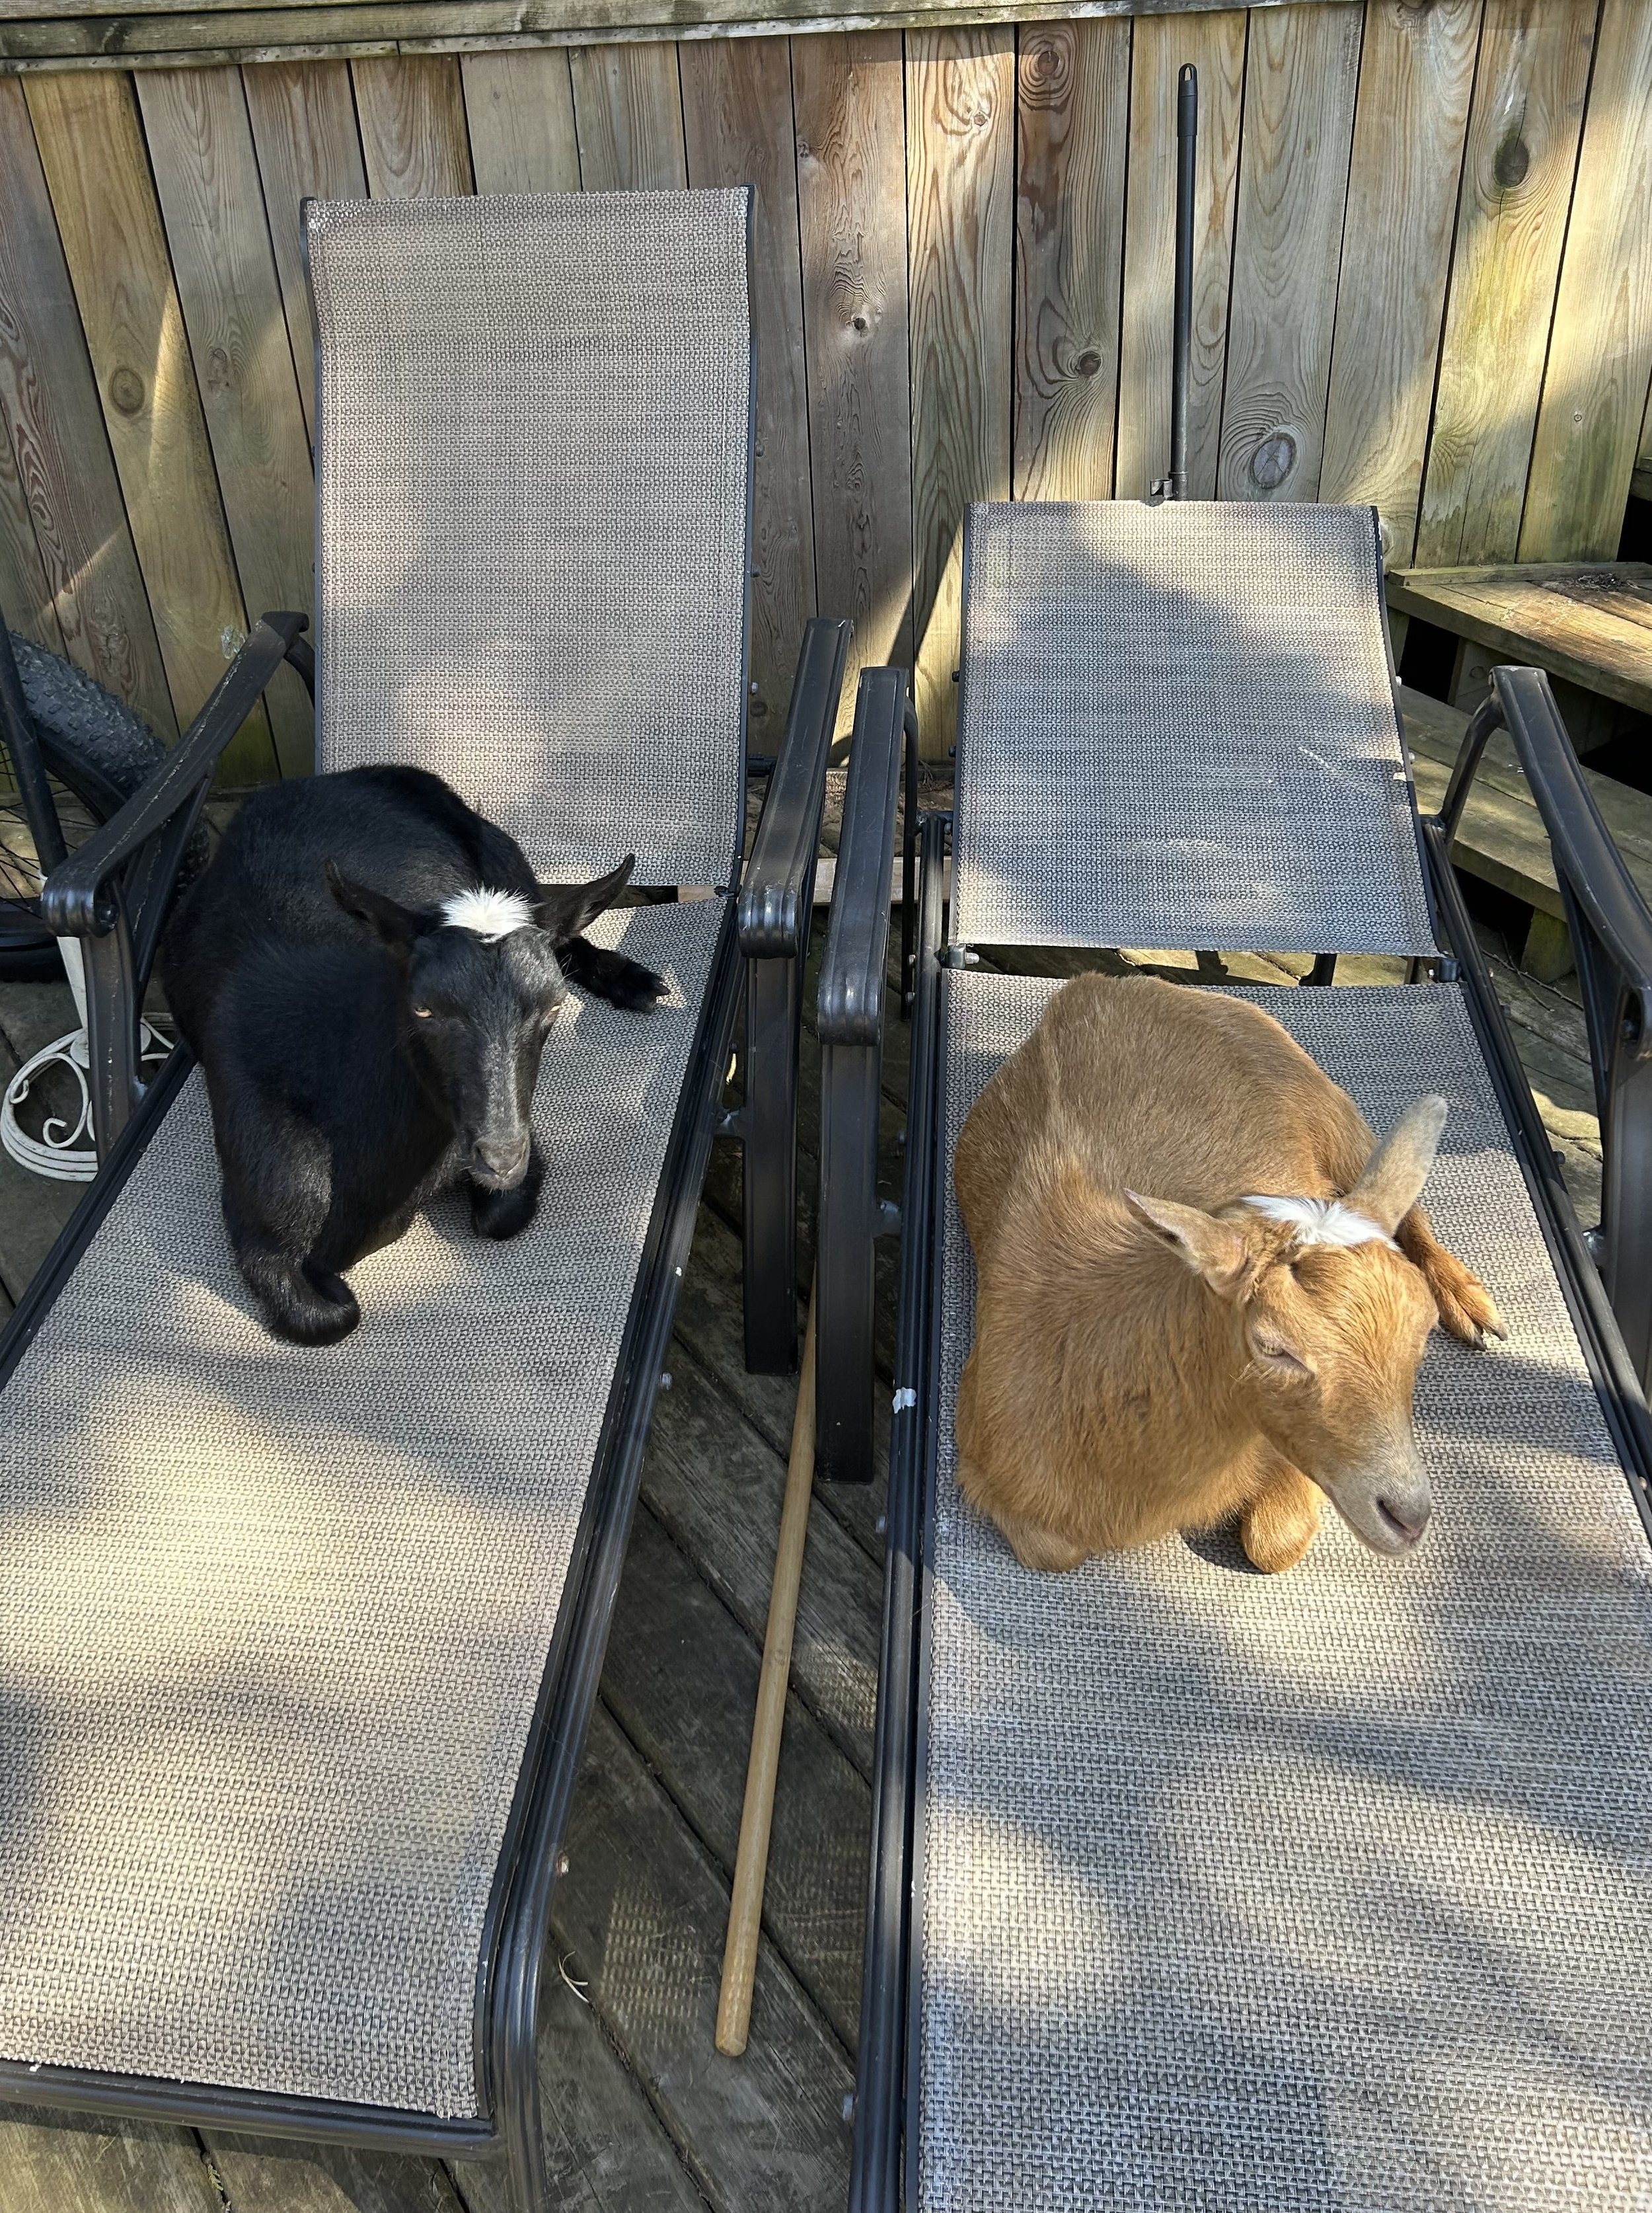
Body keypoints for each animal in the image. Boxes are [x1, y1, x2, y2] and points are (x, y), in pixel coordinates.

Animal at [162, 764, 666, 1346]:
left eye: (555, 1005)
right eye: (423, 1007)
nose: (500, 1157)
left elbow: (500, 1219)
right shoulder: (259, 1224)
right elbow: (330, 1316)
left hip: (503, 856)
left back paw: (631, 980)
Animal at [953, 974, 1505, 1575]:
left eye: (1421, 1330)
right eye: (1272, 1345)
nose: (1408, 1516)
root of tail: (1100, 983)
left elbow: (1272, 1543)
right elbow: (1054, 1550)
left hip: (1332, 1109)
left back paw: (1473, 1308)